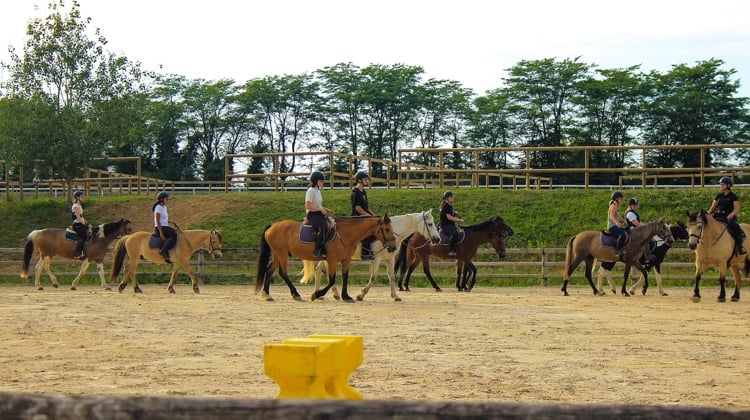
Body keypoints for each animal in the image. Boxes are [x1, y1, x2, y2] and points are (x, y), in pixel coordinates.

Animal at [258, 217, 400, 302]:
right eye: (387, 229)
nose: (393, 247)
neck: (346, 234)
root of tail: (272, 226)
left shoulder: (346, 260)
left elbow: (344, 277)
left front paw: (346, 296)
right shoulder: (332, 260)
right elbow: (332, 280)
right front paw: (317, 294)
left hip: (278, 255)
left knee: (269, 270)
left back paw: (267, 294)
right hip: (282, 254)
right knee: (283, 273)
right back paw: (296, 294)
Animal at [298, 210, 444, 302]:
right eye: (430, 224)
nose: (437, 239)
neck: (392, 232)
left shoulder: (389, 259)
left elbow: (392, 277)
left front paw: (395, 296)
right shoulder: (377, 259)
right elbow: (373, 277)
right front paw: (361, 295)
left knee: (319, 270)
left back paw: (324, 294)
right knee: (324, 271)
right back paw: (331, 293)